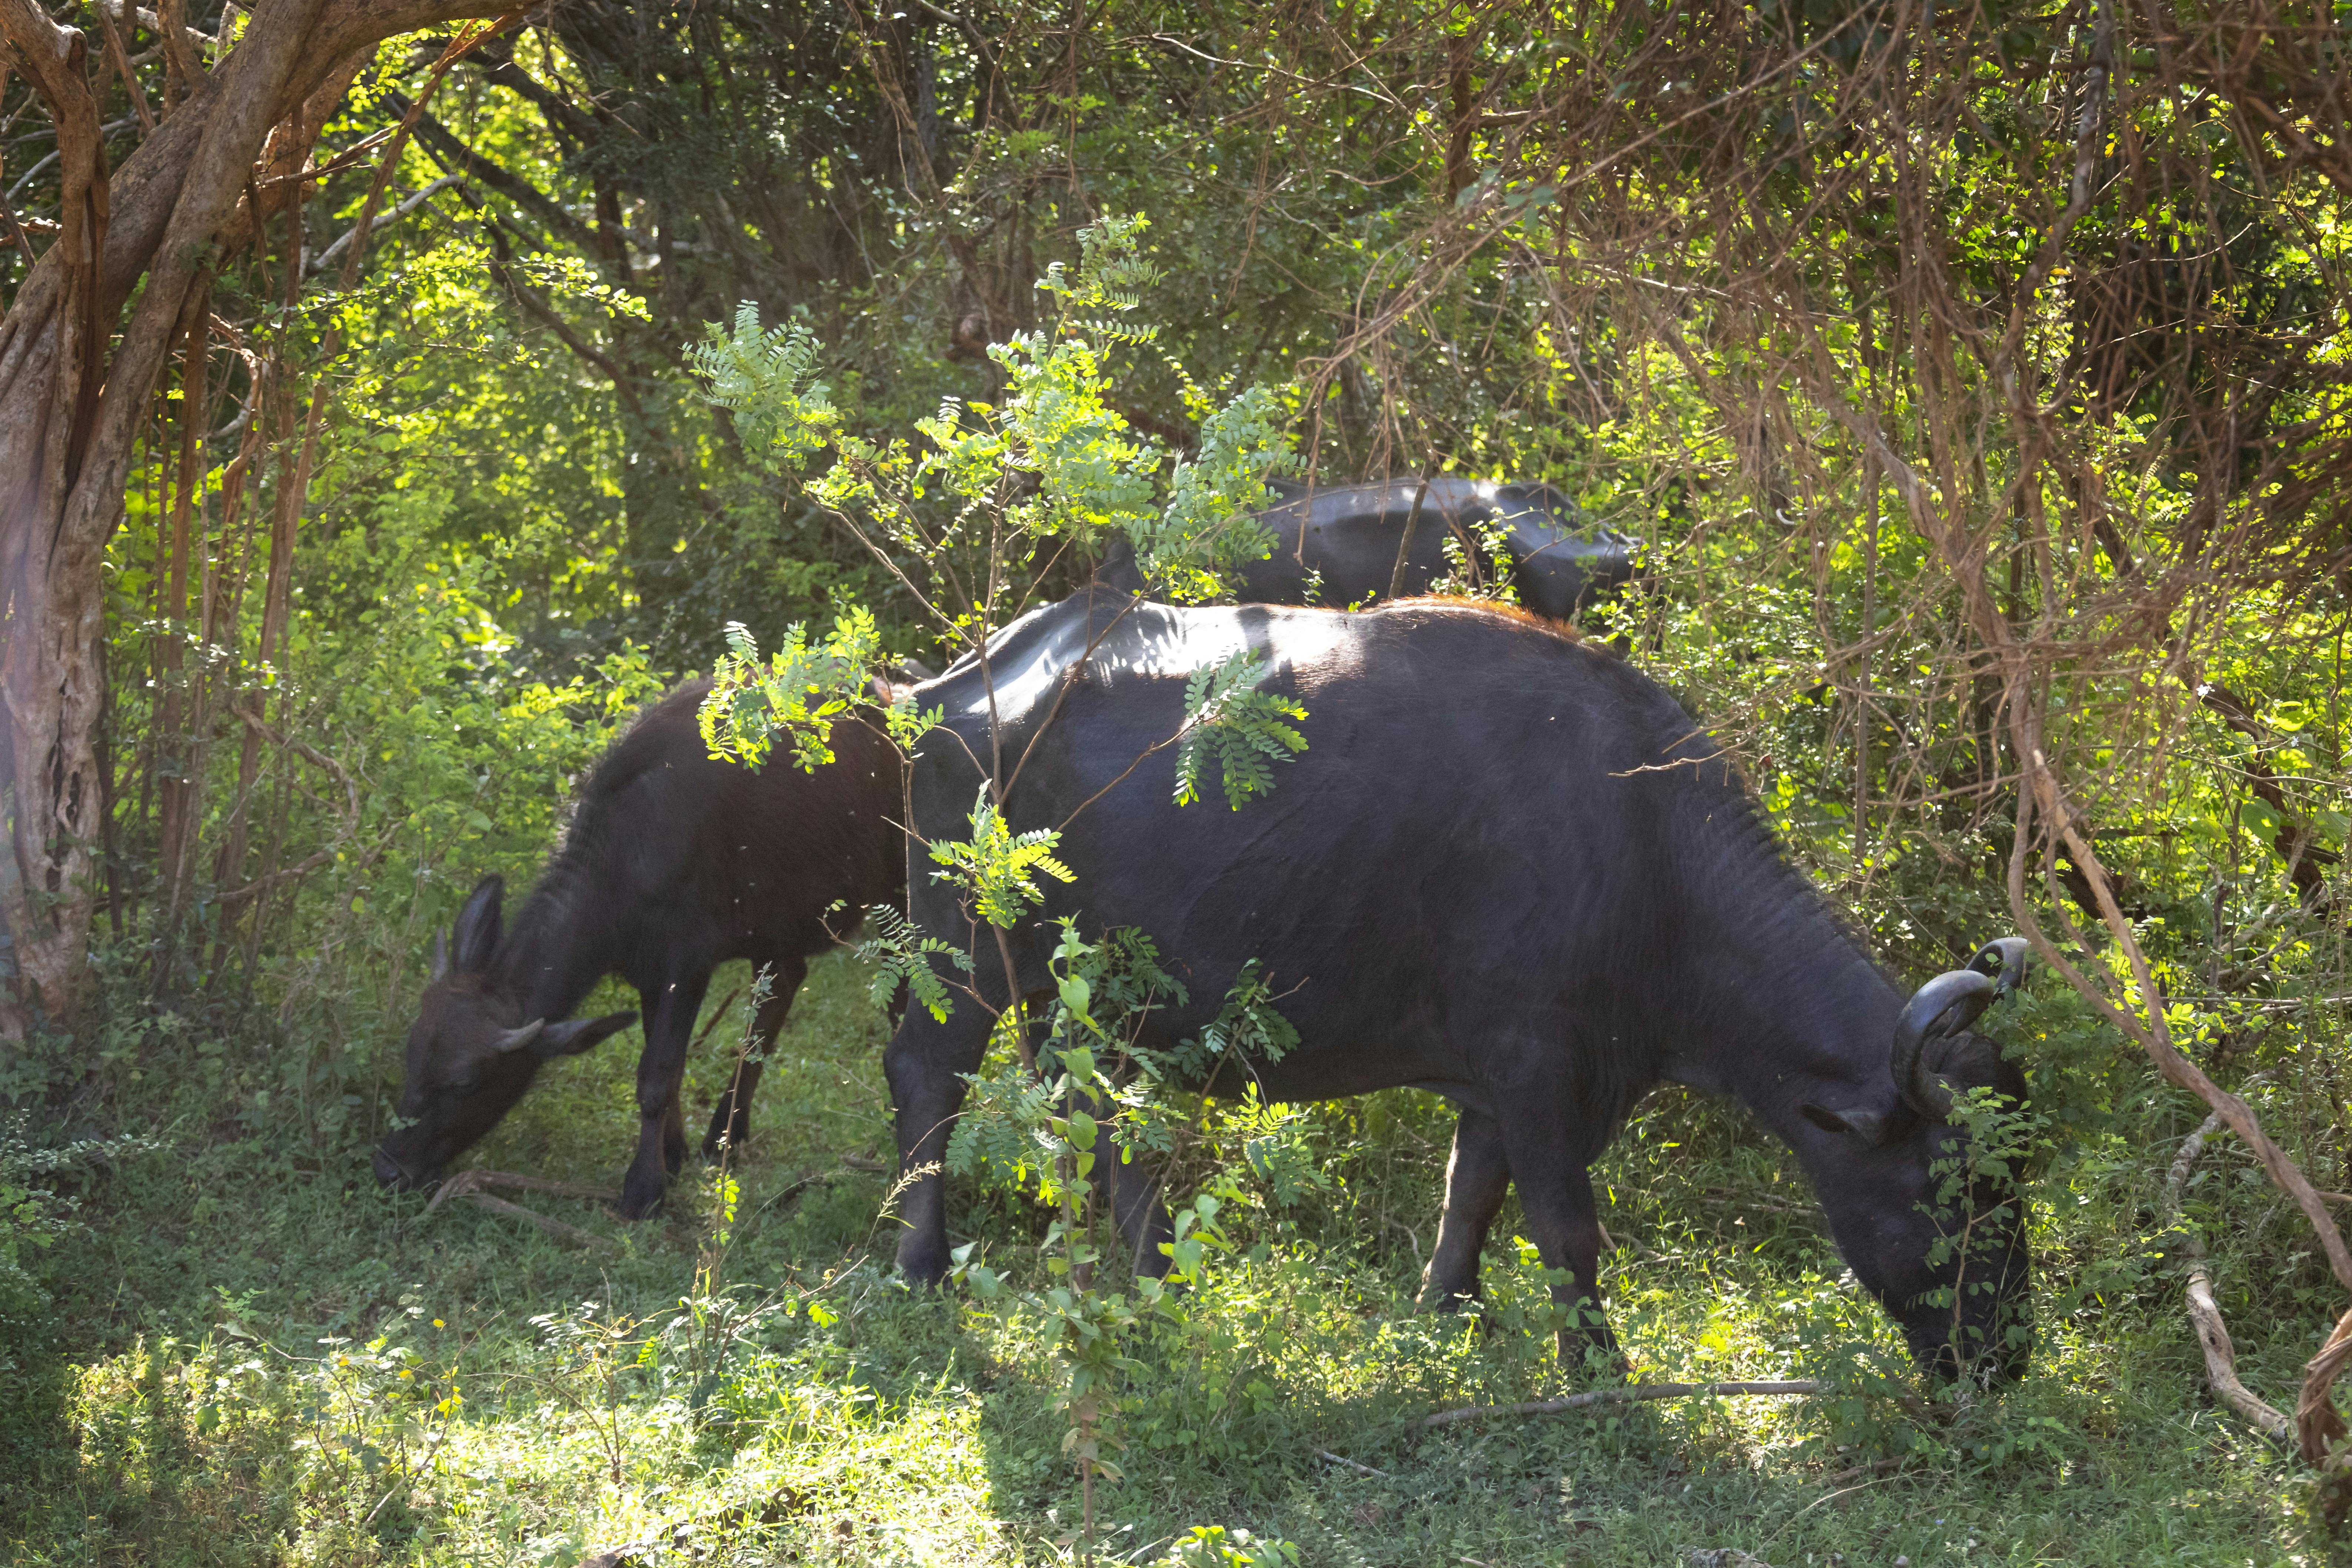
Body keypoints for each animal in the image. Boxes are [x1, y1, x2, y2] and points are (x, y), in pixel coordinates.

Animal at [372, 677, 903, 1213]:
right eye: (411, 1055)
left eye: (467, 1082)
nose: (390, 1168)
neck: (627, 853)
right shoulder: (650, 973)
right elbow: (671, 1069)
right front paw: (673, 1154)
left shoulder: (686, 968)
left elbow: (656, 1075)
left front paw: (644, 1188)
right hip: (777, 928)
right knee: (780, 998)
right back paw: (726, 1137)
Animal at [884, 592, 2041, 1382]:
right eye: (1948, 1190)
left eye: (2015, 1184)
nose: (2003, 1360)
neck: (1647, 850)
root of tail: (957, 684)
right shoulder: (1535, 1065)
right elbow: (1567, 1225)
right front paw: (1598, 1369)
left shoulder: (1504, 1081)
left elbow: (1471, 1192)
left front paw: (1448, 1309)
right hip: (961, 951)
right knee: (926, 1079)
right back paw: (922, 1266)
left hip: (1088, 997)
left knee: (1103, 1120)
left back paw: (1156, 1277)